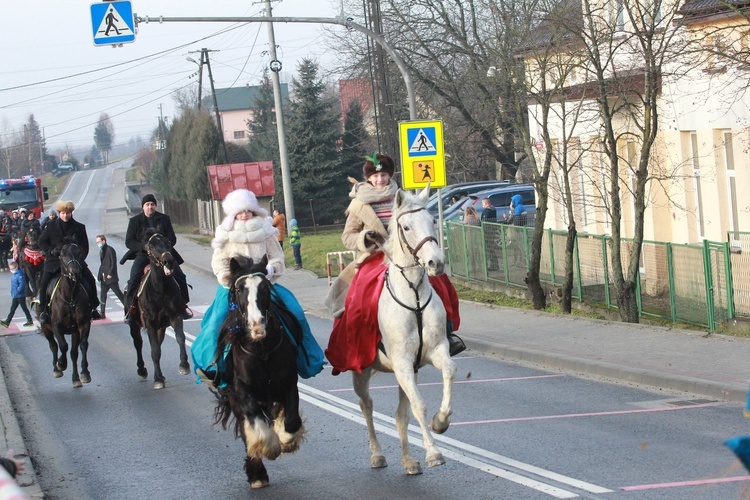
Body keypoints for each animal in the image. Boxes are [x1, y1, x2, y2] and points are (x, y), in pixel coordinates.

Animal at [39, 244, 92, 388]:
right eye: (62, 255)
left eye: (79, 253)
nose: (76, 273)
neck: (70, 298)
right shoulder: (56, 326)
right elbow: (63, 346)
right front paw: (61, 364)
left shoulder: (82, 325)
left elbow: (82, 345)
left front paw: (85, 373)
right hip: (45, 328)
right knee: (53, 345)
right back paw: (56, 369)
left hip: (74, 332)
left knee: (73, 353)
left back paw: (76, 379)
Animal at [127, 232, 191, 388]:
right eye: (151, 246)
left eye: (168, 242)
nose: (168, 261)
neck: (160, 289)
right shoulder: (150, 323)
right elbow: (154, 350)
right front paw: (157, 380)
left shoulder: (175, 316)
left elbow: (180, 338)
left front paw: (184, 365)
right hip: (135, 326)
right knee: (138, 344)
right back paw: (142, 370)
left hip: (161, 327)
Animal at [213, 256, 304, 490]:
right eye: (239, 289)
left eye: (265, 287)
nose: (257, 326)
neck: (261, 348)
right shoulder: (244, 391)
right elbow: (256, 423)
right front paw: (270, 447)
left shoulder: (288, 384)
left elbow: (291, 420)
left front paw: (286, 439)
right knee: (247, 429)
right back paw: (257, 474)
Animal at [354, 186, 458, 474]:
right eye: (407, 227)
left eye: (433, 220)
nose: (436, 263)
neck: (414, 296)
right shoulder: (401, 363)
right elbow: (419, 405)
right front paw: (434, 452)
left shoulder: (434, 351)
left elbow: (449, 371)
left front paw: (441, 421)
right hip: (362, 372)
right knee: (366, 405)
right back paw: (377, 454)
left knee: (401, 414)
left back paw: (409, 460)